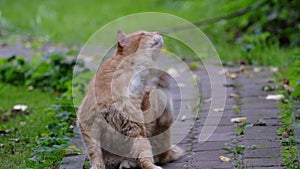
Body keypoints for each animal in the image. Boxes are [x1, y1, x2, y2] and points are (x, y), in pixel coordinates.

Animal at [77, 30, 184, 169]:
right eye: (143, 33)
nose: (158, 32)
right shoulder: (88, 121)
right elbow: (95, 152)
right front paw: (97, 166)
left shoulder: (135, 126)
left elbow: (143, 152)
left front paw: (150, 166)